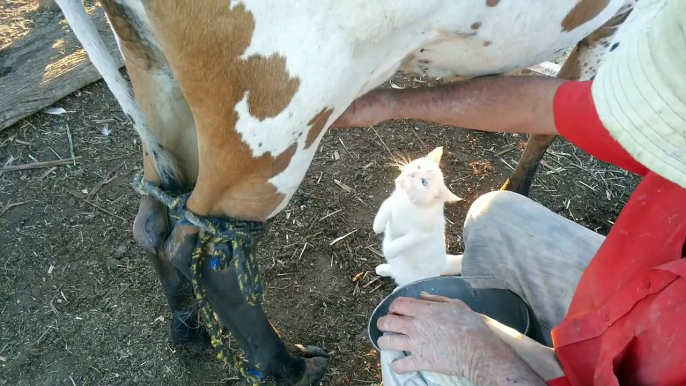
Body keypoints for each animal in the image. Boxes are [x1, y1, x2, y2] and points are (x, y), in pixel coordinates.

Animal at [374, 146, 464, 288]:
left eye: (423, 182)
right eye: (419, 166)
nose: (413, 174)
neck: (409, 202)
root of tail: (443, 263)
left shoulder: (420, 234)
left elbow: (400, 244)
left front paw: (388, 249)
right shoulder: (392, 200)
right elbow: (385, 207)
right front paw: (377, 226)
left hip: (412, 277)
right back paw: (383, 269)